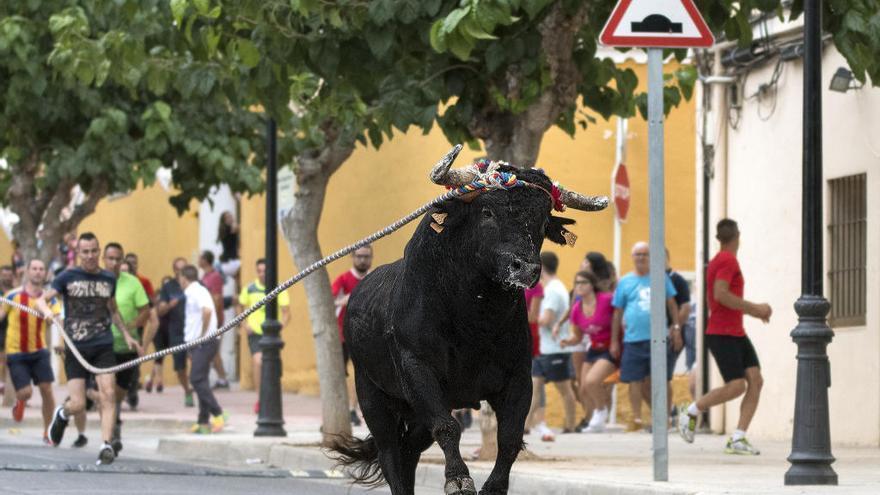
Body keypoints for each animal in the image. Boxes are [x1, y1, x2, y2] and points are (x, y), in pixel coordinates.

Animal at [330, 165, 604, 494]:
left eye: (542, 219)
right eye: (487, 212)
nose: (525, 269)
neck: (474, 320)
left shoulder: (518, 377)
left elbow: (510, 437)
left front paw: (494, 486)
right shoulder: (417, 368)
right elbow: (448, 427)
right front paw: (458, 479)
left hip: (416, 413)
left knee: (409, 450)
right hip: (373, 397)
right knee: (391, 454)